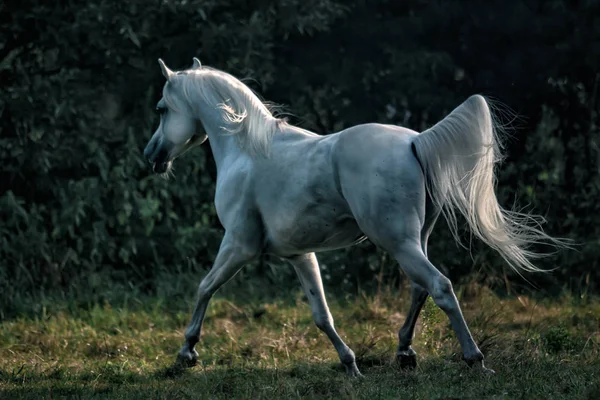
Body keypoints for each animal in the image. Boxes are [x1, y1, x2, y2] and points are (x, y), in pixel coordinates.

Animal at [143, 57, 564, 376]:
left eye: (162, 109)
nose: (152, 156)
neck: (247, 150)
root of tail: (415, 141)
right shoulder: (299, 255)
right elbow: (321, 314)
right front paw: (350, 365)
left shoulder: (238, 245)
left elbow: (204, 287)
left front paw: (187, 352)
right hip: (415, 241)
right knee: (420, 289)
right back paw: (404, 353)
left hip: (398, 242)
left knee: (440, 287)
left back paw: (474, 359)